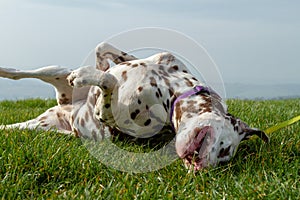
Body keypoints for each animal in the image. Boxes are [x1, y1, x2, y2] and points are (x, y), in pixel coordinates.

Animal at [0, 42, 268, 170]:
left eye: (224, 156)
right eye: (225, 150)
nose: (202, 168)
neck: (175, 91)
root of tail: (66, 110)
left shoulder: (106, 114)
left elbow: (108, 81)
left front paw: (91, 74)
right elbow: (105, 51)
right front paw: (104, 66)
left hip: (42, 127)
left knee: (14, 126)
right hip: (54, 72)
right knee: (20, 73)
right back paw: (6, 70)